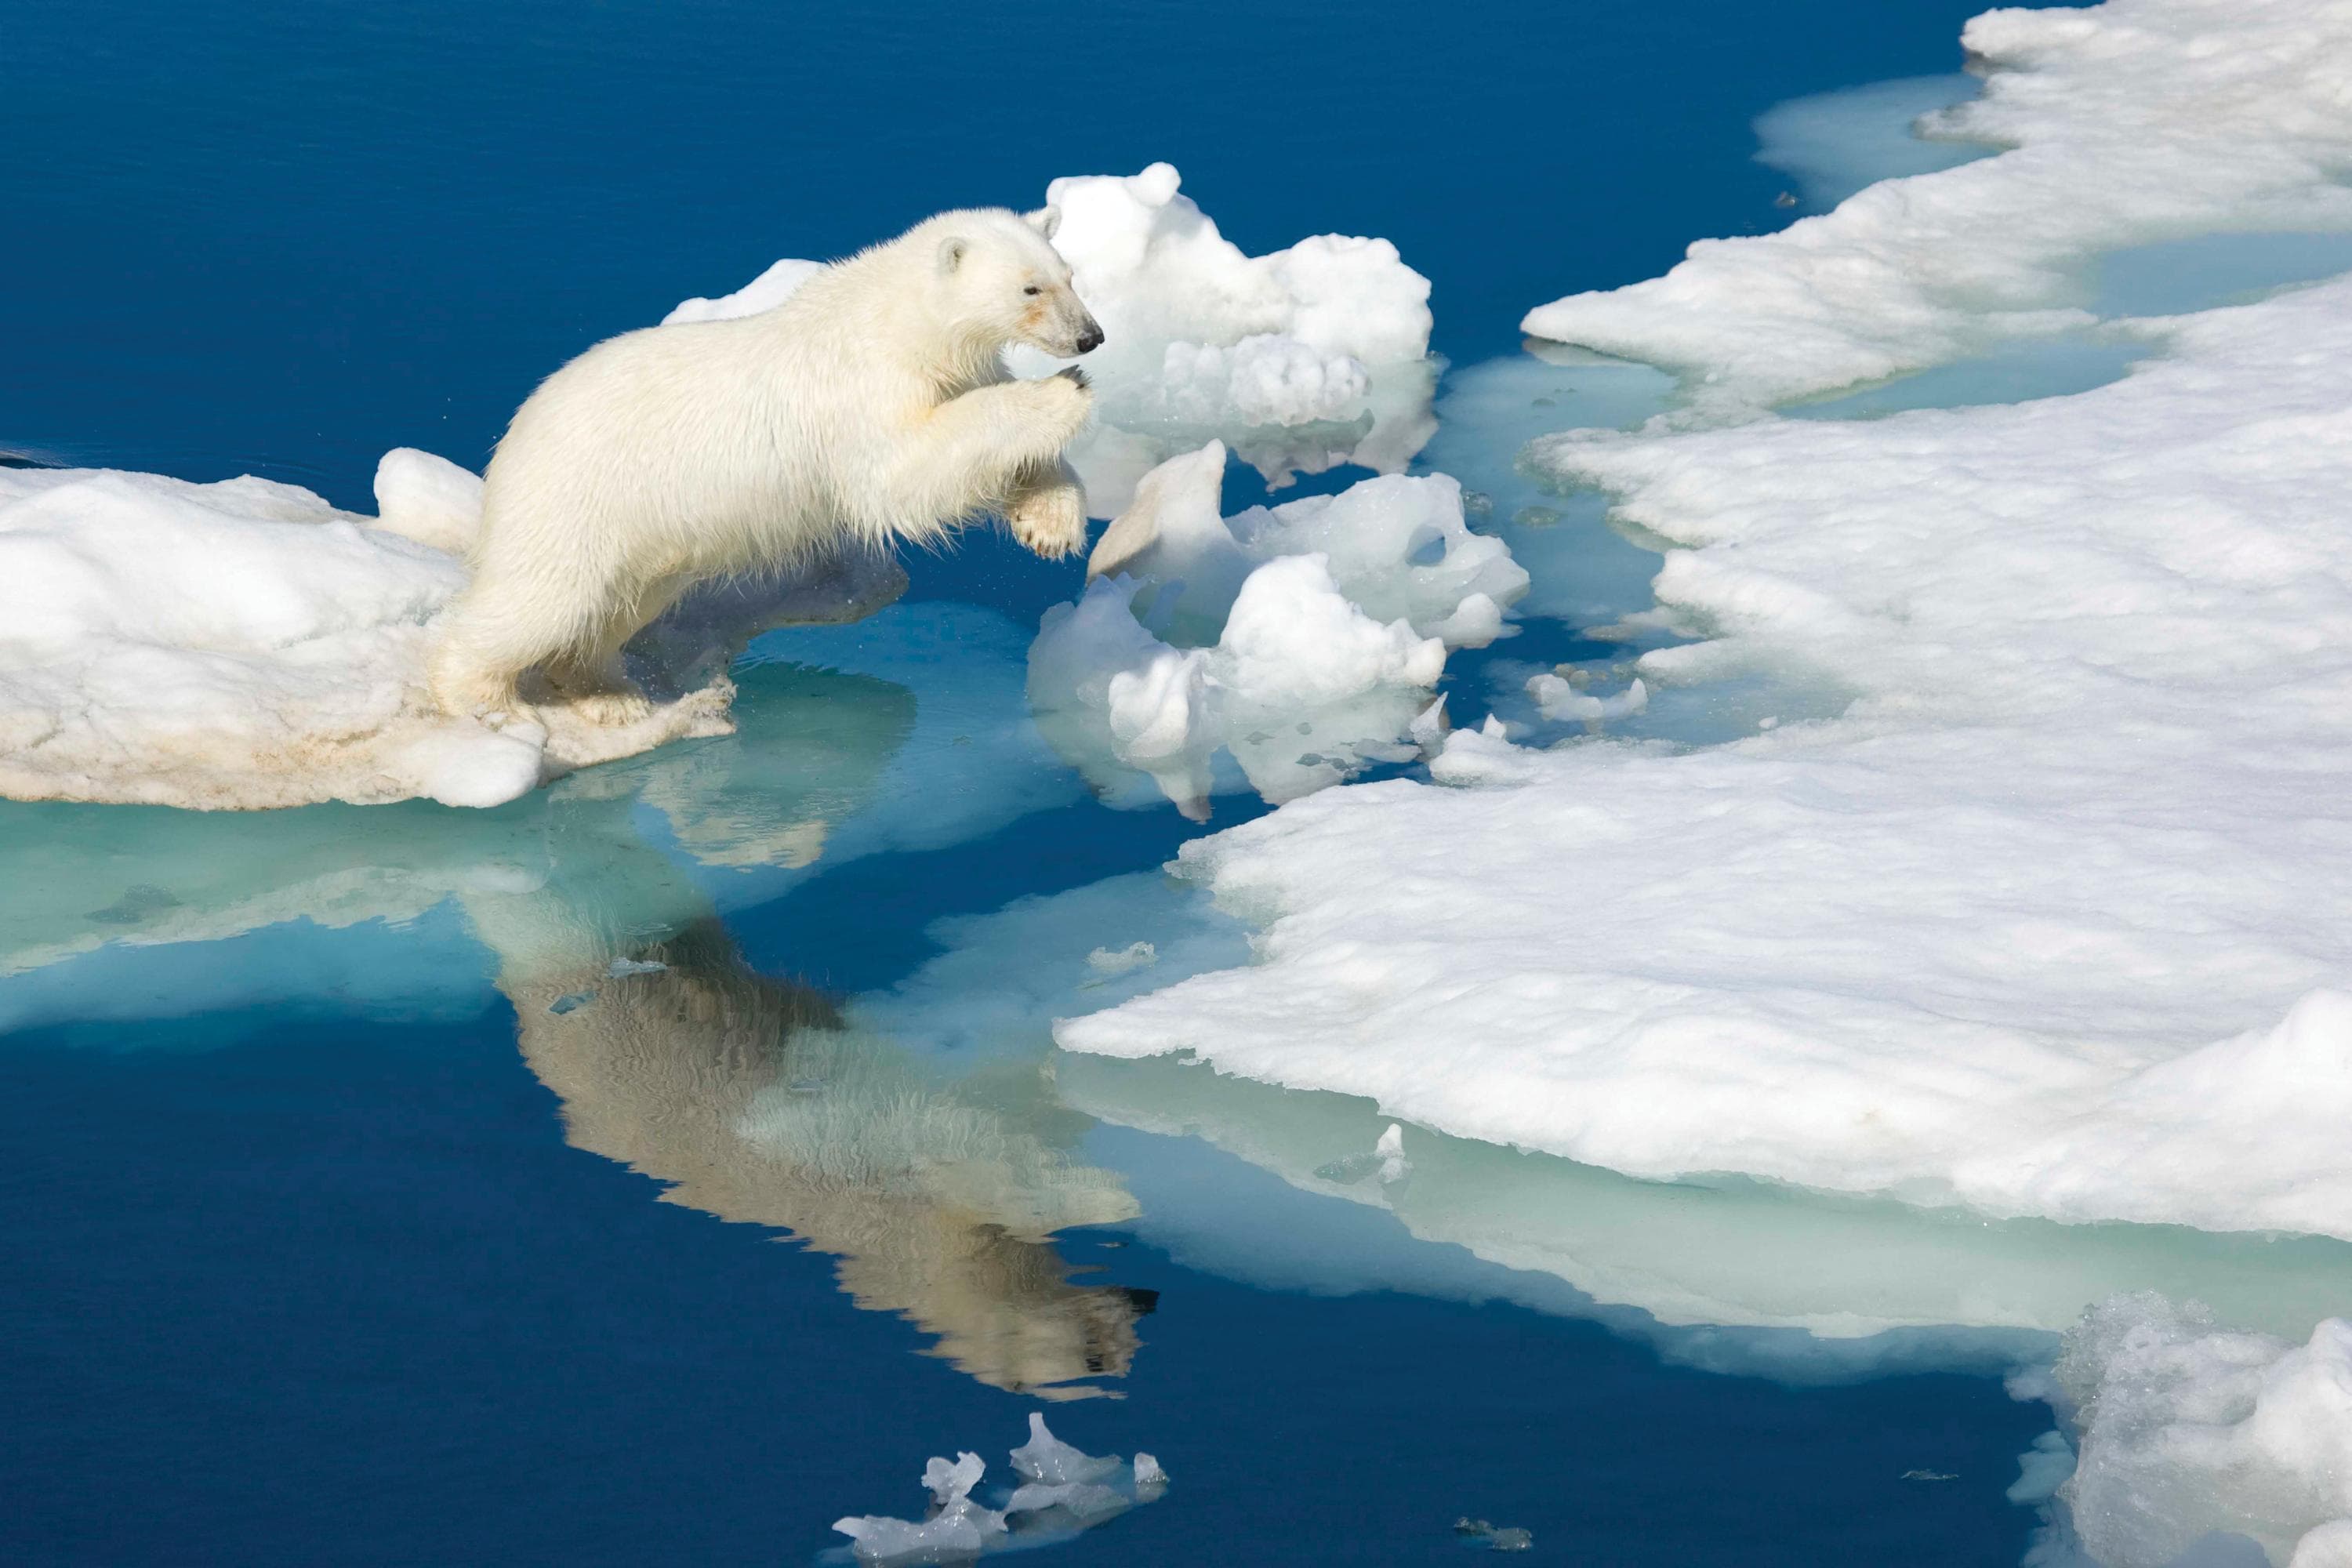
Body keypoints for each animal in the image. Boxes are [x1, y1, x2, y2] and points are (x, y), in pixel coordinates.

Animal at [428, 206, 1105, 724]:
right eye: (1030, 288)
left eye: (1070, 275)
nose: (1090, 338)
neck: (895, 322)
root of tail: (508, 448)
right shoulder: (861, 390)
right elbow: (903, 475)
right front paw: (1065, 392)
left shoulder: (954, 370)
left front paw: (1048, 523)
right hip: (573, 501)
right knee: (538, 601)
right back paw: (485, 701)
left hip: (644, 540)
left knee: (619, 605)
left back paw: (608, 695)